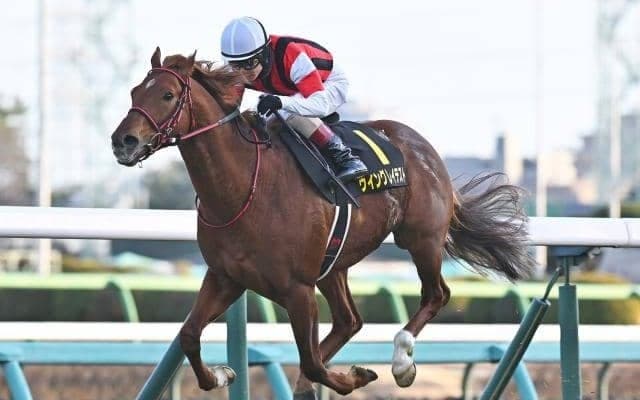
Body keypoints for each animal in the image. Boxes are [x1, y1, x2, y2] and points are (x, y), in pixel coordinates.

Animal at [111, 47, 536, 398]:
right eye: (133, 93)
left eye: (167, 95)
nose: (123, 141)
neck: (245, 187)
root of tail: (425, 149)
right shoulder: (225, 277)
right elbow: (188, 335)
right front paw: (221, 375)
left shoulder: (298, 289)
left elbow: (313, 362)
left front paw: (356, 377)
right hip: (335, 262)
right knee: (350, 321)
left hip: (422, 239)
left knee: (436, 295)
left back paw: (402, 361)